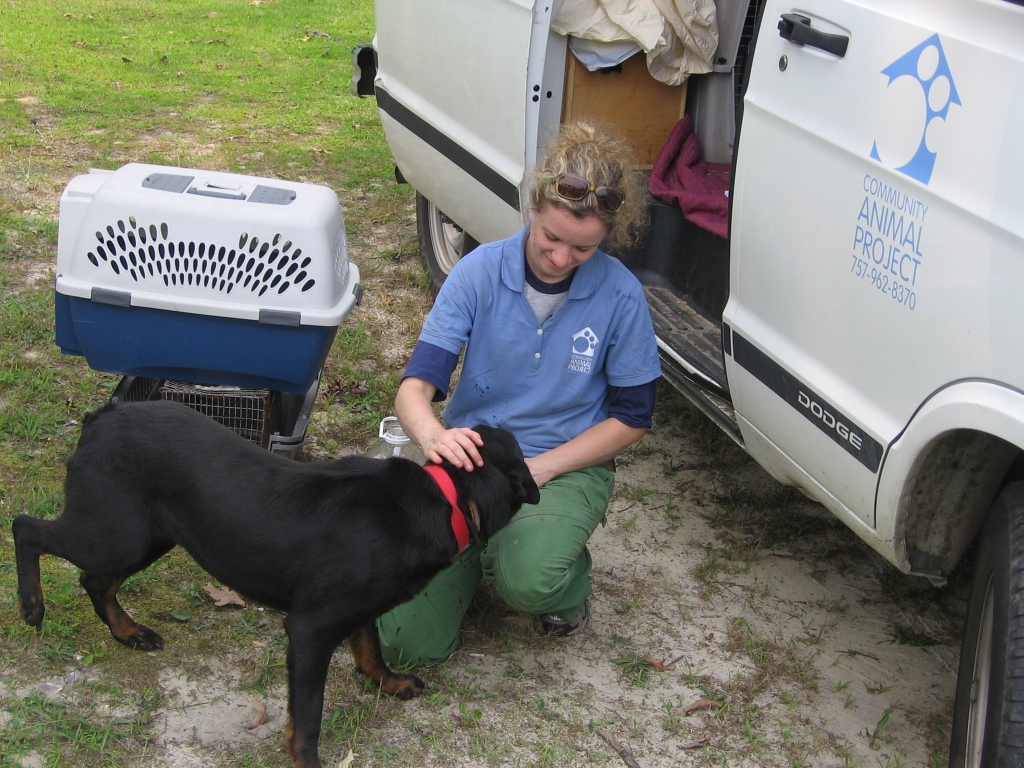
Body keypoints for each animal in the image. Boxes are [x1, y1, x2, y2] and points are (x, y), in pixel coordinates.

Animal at [12, 403, 540, 768]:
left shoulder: (357, 611)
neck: (447, 498)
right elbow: (307, 717)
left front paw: (391, 683)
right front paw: (307, 760)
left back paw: (129, 632)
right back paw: (32, 606)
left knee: (95, 581)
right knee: (28, 529)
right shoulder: (310, 631)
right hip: (116, 535)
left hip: (147, 537)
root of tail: (101, 416)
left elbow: (370, 650)